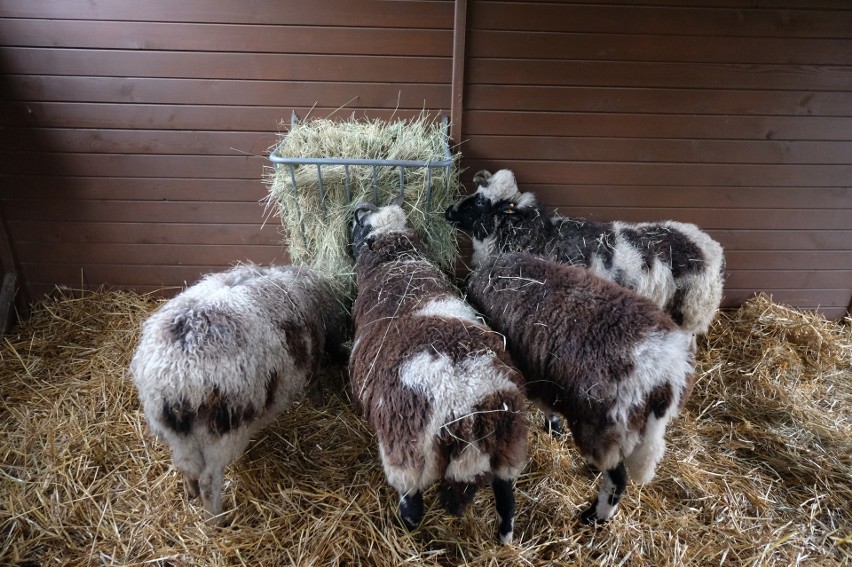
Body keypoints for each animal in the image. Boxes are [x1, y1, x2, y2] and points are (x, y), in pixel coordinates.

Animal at [130, 264, 346, 524]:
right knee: (208, 480)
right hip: (223, 432)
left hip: (177, 435)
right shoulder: (313, 359)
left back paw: (191, 493)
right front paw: (319, 403)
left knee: (185, 466)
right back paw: (215, 521)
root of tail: (175, 377)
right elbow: (314, 385)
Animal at [346, 200, 524, 544]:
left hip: (407, 453)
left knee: (412, 507)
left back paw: (406, 536)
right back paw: (505, 539)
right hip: (506, 449)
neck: (398, 262)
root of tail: (469, 408)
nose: (358, 209)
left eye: (360, 225)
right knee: (507, 499)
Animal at [466, 253, 700, 524]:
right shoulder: (543, 376)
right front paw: (554, 427)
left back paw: (595, 516)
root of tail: (666, 376)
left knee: (617, 479)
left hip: (604, 426)